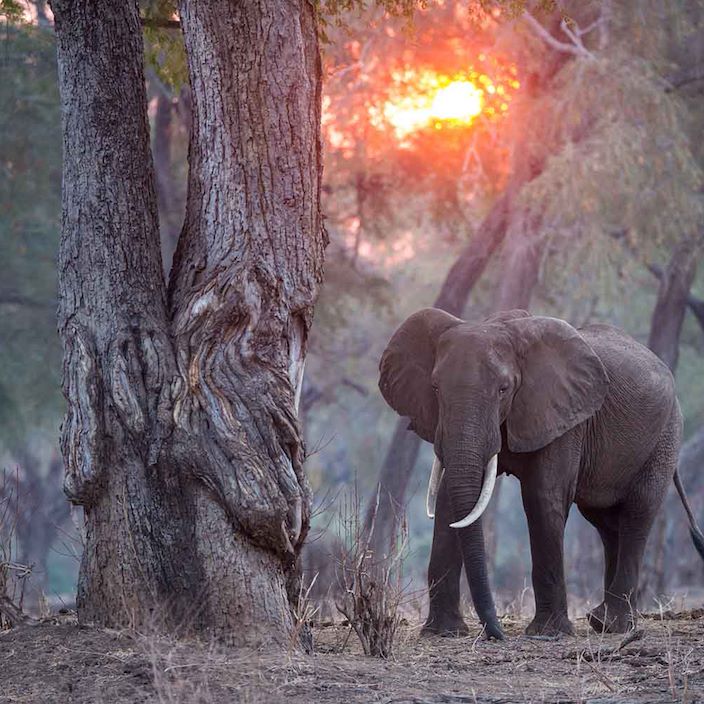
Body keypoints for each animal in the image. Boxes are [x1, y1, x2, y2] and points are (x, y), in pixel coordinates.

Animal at [380, 308, 704, 640]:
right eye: (434, 388)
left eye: (503, 389)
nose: (497, 633)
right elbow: (448, 498)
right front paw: (443, 632)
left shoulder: (565, 417)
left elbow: (542, 497)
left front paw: (548, 633)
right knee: (606, 522)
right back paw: (608, 622)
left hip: (665, 435)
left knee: (637, 514)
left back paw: (611, 624)